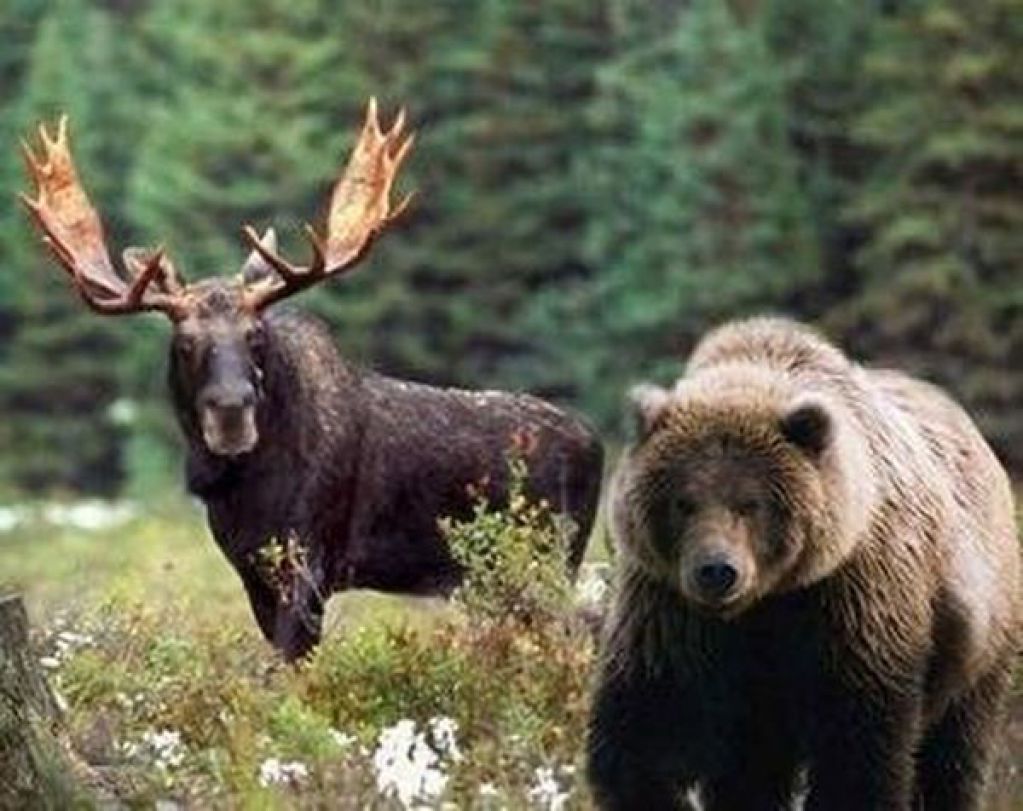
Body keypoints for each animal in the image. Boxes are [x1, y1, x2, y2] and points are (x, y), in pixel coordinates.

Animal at [586, 317, 1022, 811]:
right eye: (684, 502)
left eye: (750, 504)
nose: (717, 571)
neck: (767, 599)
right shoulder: (669, 609)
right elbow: (649, 724)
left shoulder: (851, 598)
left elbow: (857, 748)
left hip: (980, 635)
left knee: (953, 751)